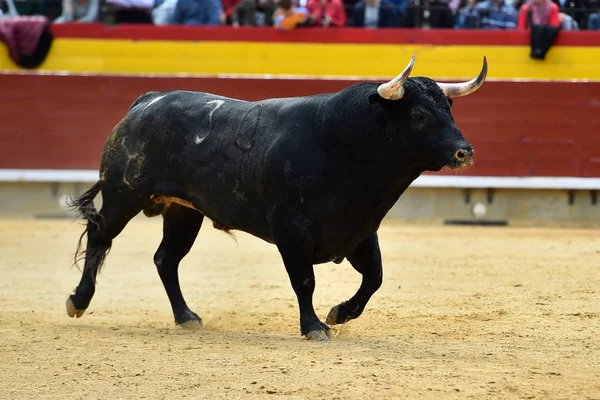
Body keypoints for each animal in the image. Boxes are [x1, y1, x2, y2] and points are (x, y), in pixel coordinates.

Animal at [67, 54, 488, 340]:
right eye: (418, 115)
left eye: (449, 109)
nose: (464, 151)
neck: (346, 143)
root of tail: (147, 100)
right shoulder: (293, 232)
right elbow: (304, 281)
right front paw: (314, 326)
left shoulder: (360, 230)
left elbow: (375, 278)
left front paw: (338, 313)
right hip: (124, 195)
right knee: (100, 237)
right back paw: (79, 301)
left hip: (183, 212)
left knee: (166, 259)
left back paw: (186, 316)